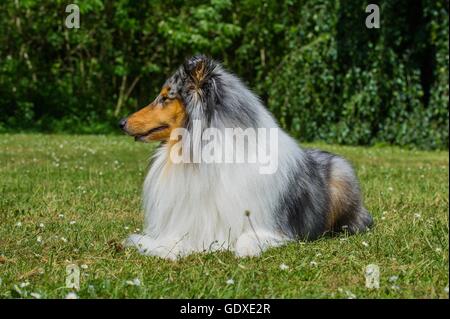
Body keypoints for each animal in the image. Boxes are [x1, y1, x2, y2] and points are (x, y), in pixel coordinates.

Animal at [119, 55, 372, 260]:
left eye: (165, 98)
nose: (121, 122)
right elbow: (174, 239)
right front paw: (162, 248)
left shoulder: (266, 223)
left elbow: (248, 236)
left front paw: (246, 250)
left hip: (342, 179)